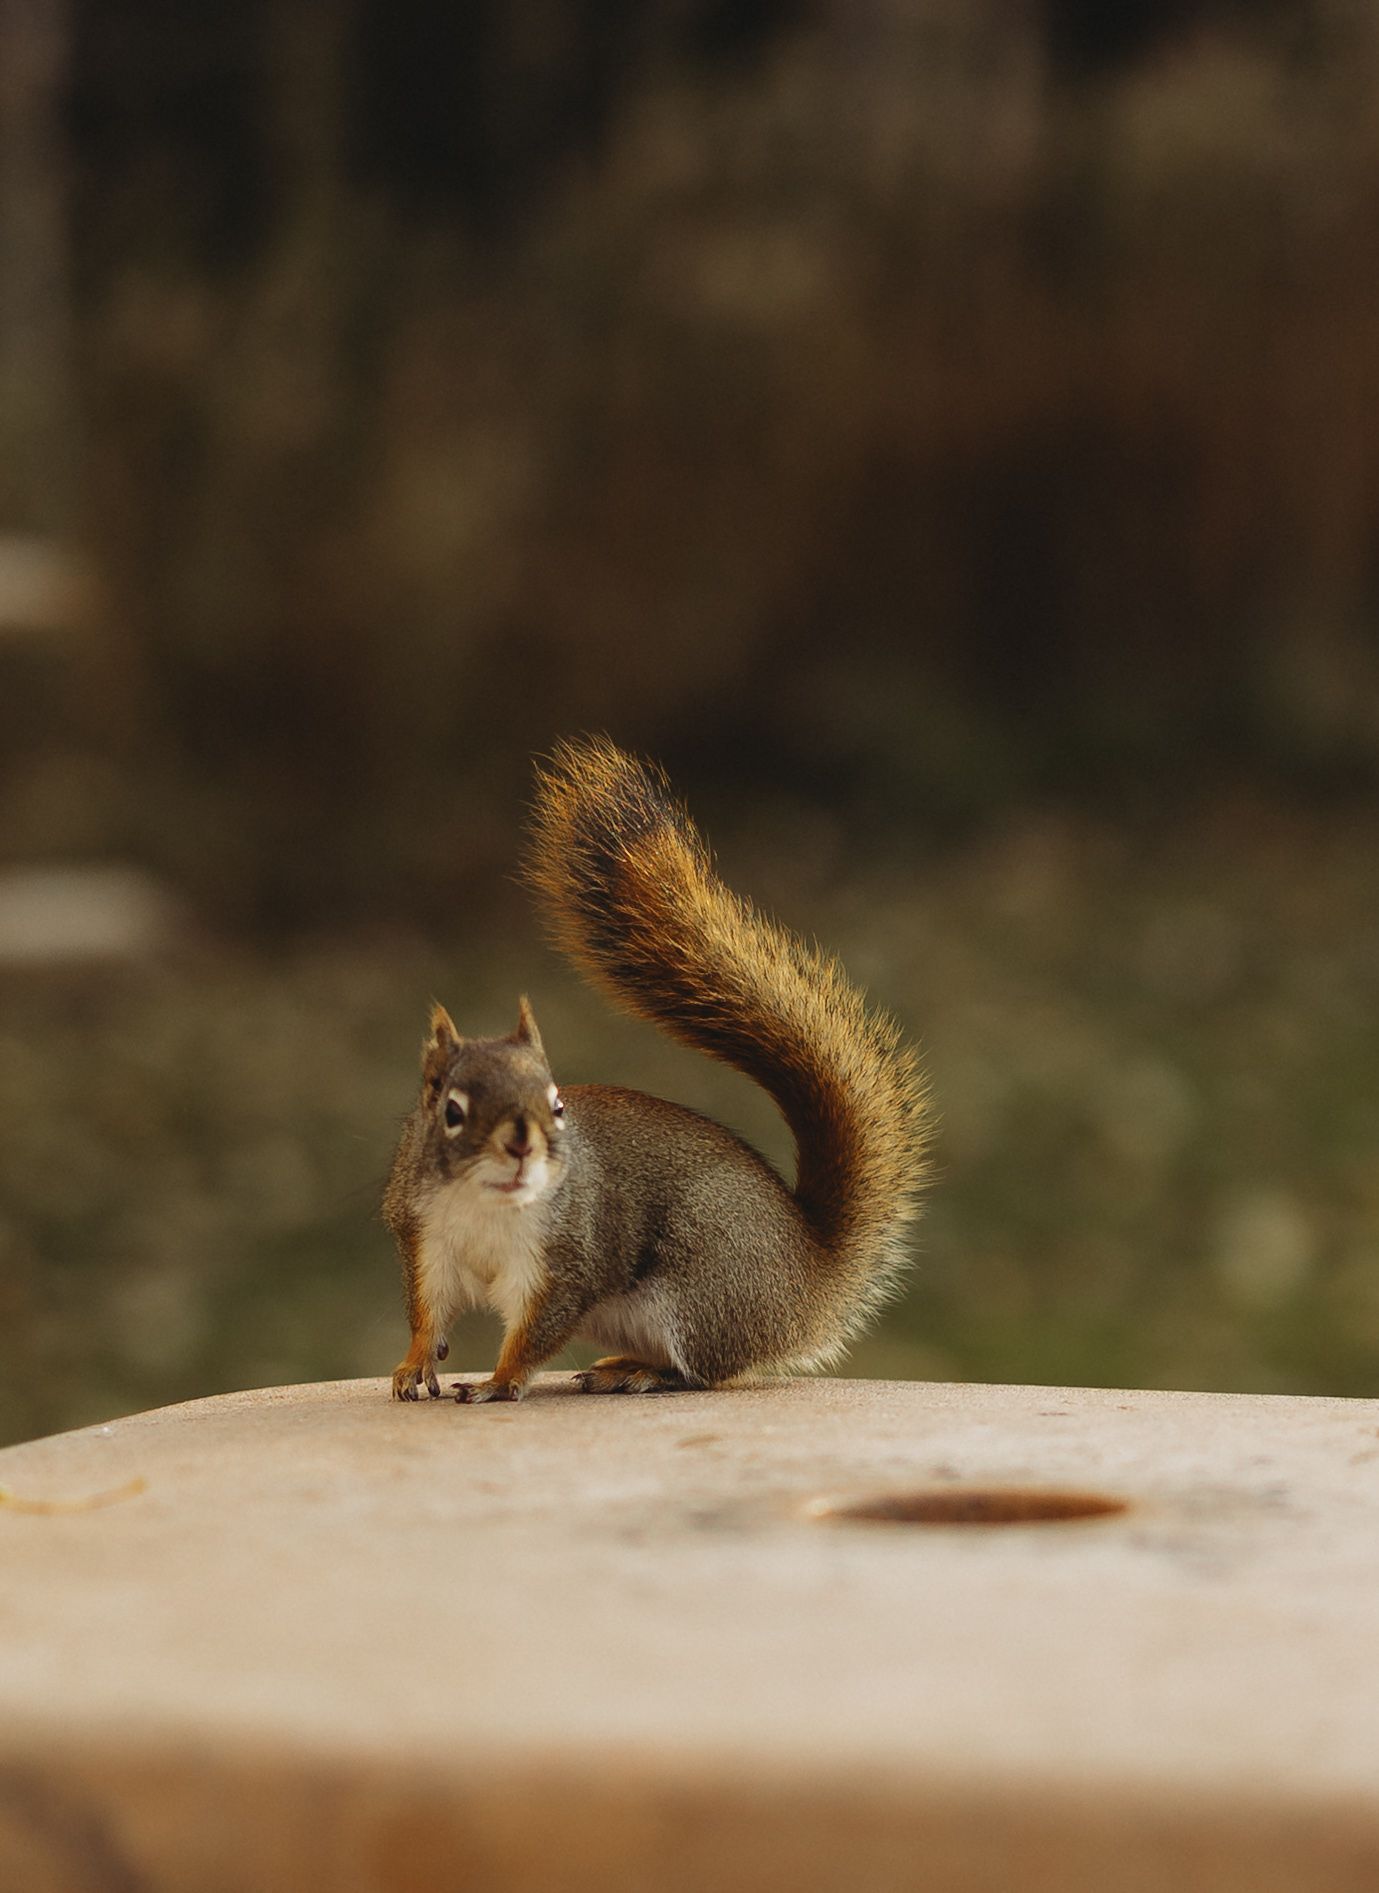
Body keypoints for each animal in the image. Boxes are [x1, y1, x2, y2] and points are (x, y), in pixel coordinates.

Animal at [383, 736, 929, 1403]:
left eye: (557, 1106)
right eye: (452, 1111)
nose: (520, 1146)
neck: (487, 1202)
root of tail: (806, 1287)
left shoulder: (569, 1258)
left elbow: (535, 1333)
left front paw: (499, 1381)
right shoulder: (425, 1240)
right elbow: (427, 1313)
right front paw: (413, 1366)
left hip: (699, 1295)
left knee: (703, 1371)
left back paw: (640, 1372)